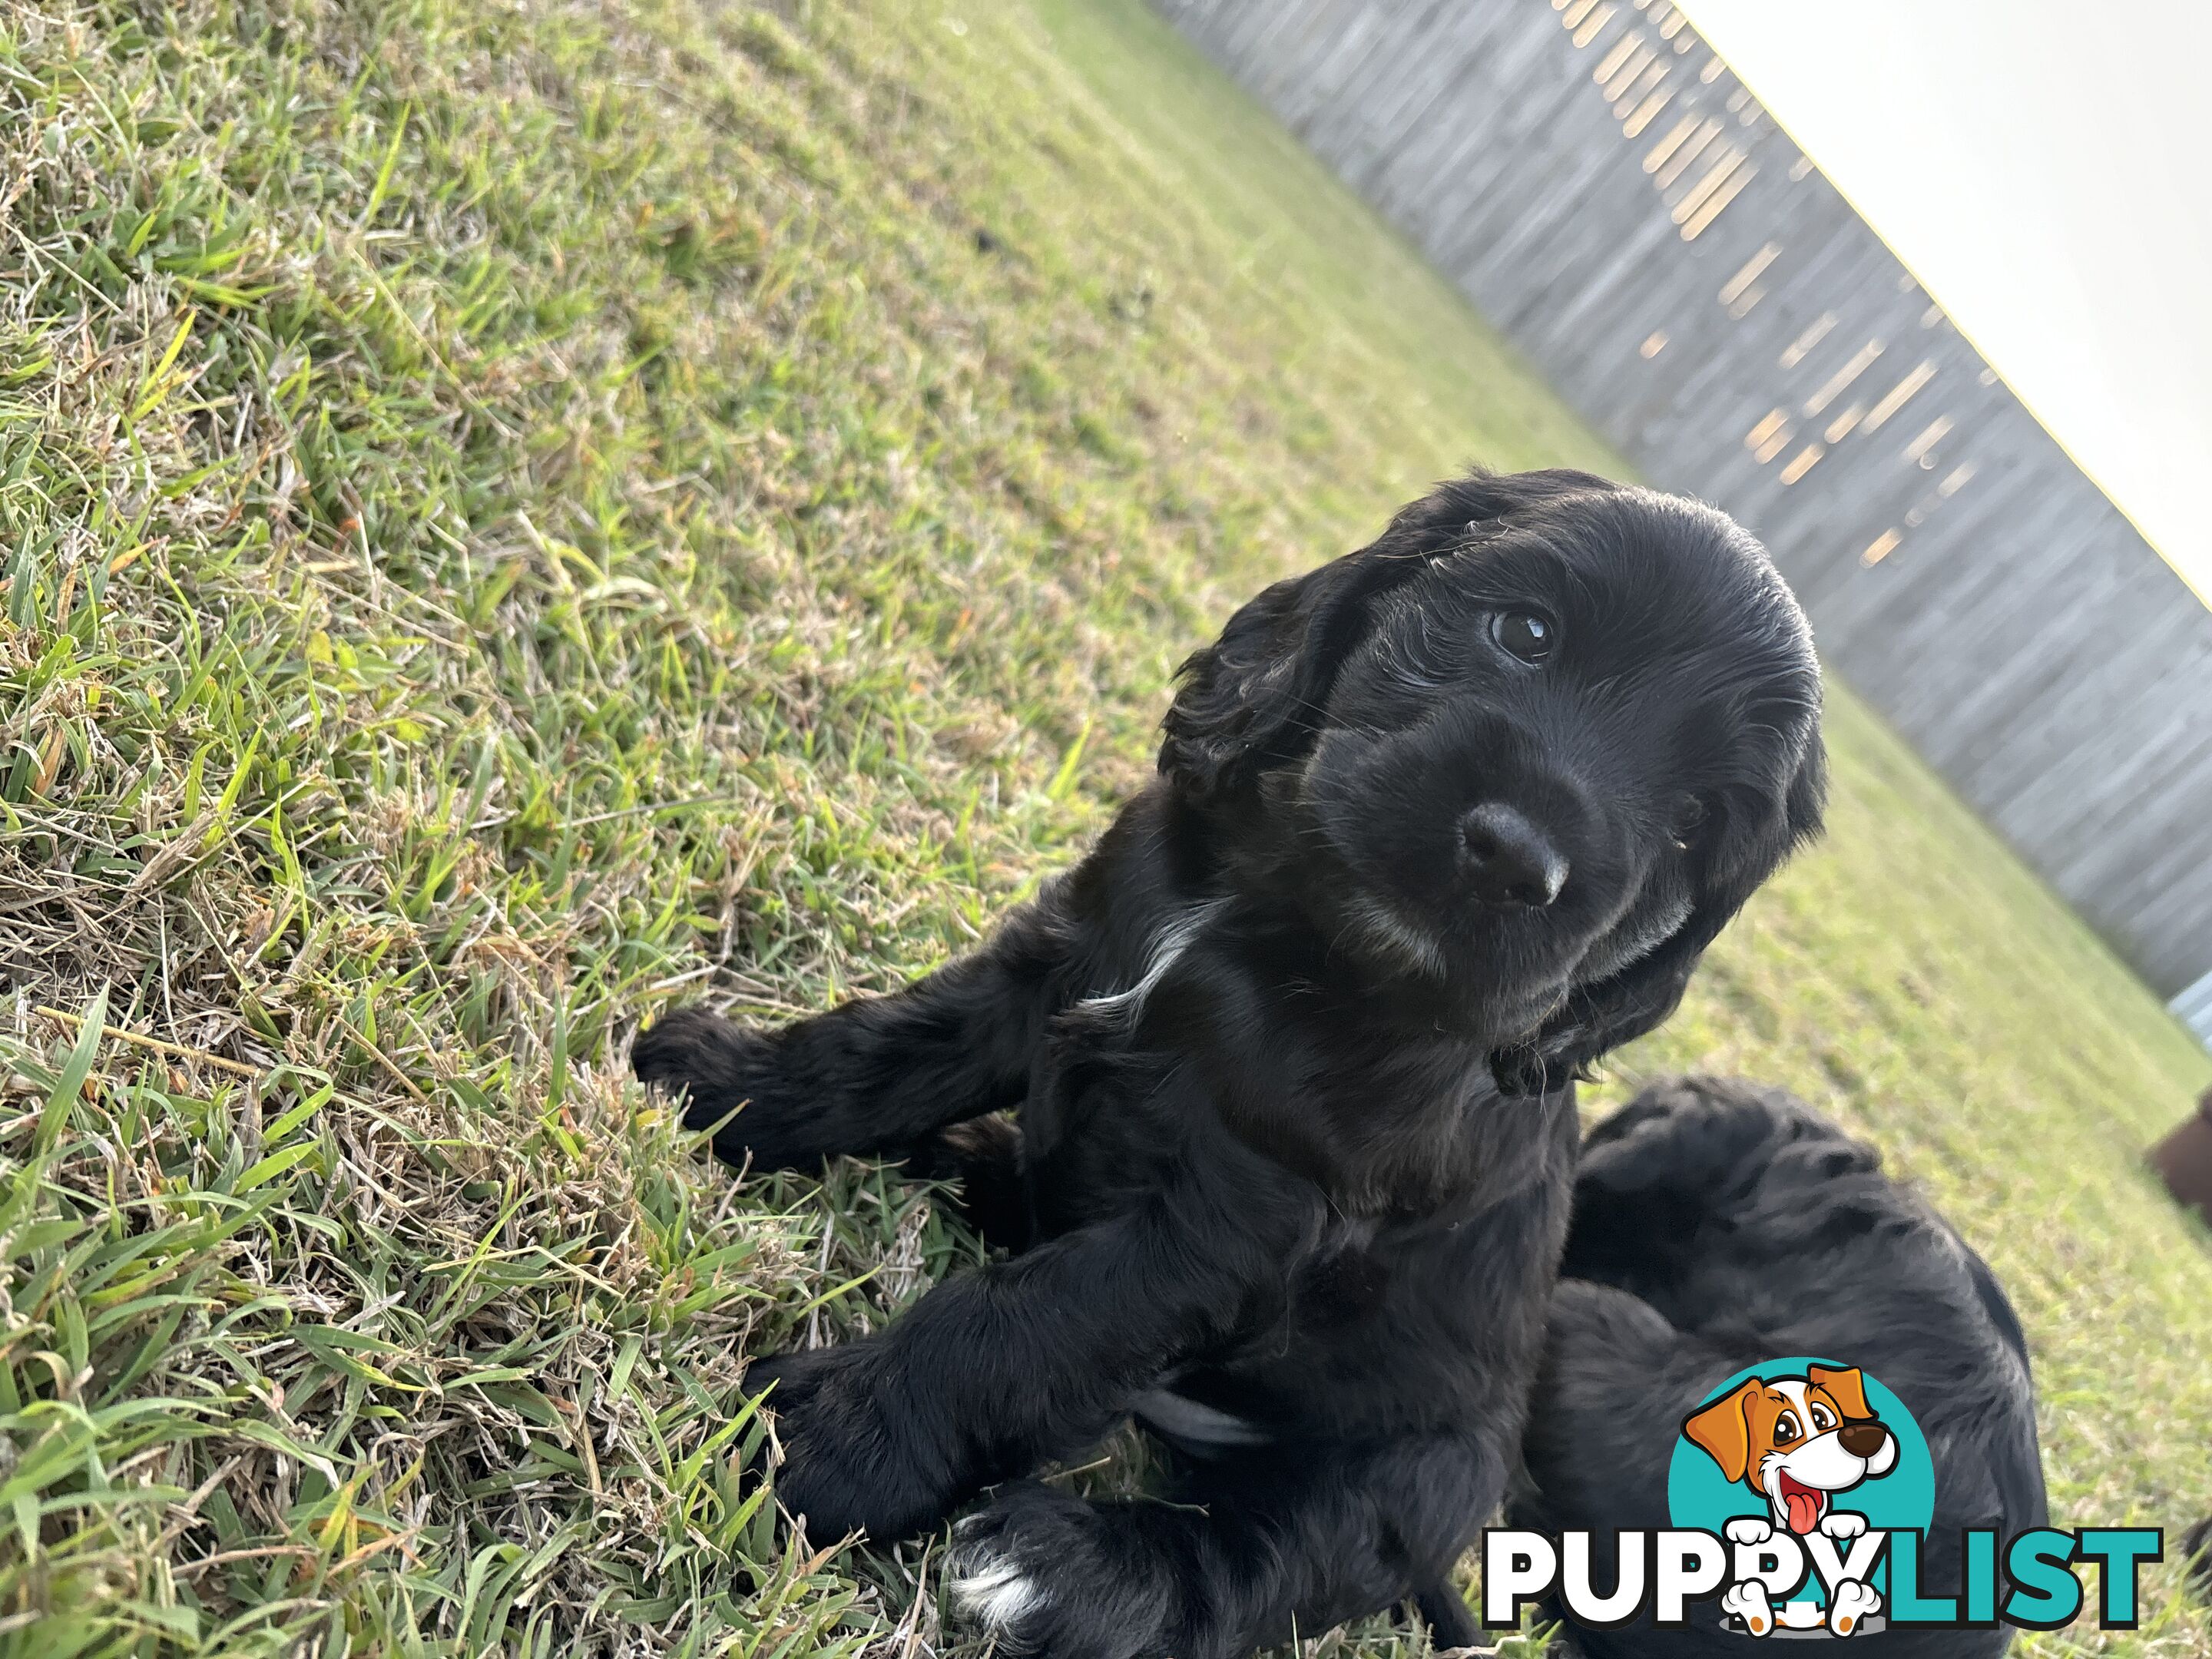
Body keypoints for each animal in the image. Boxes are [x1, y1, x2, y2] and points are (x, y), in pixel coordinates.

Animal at [632, 471, 1823, 1659]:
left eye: (1690, 827)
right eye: (1524, 632)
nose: (1517, 860)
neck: (1289, 922)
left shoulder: (1241, 1218)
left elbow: (1039, 1317)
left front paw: (833, 1438)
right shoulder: (1061, 962)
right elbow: (893, 1044)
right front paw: (722, 1084)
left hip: (1425, 1470)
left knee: (1270, 1548)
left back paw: (1069, 1572)